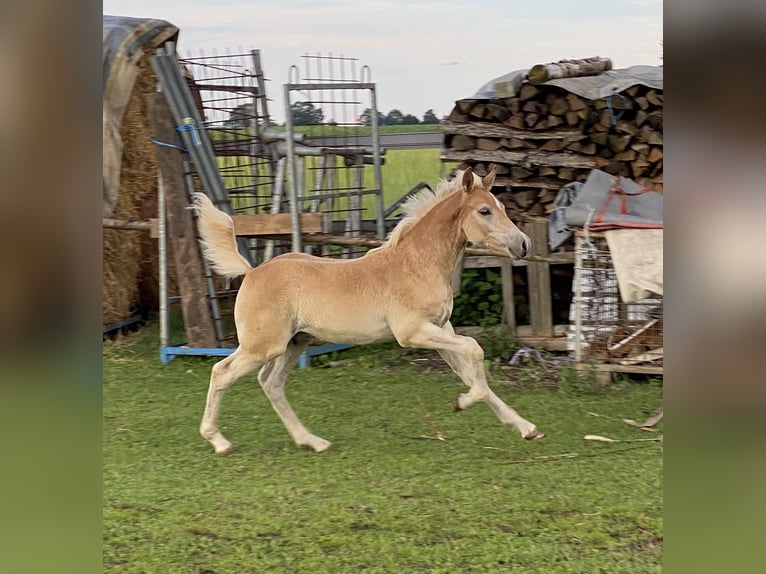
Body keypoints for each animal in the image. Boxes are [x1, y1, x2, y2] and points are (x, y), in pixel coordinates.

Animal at [195, 165, 544, 454]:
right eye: (484, 210)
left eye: (502, 208)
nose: (523, 244)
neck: (418, 264)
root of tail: (252, 272)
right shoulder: (413, 333)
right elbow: (475, 350)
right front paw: (461, 402)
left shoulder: (441, 329)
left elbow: (472, 373)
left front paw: (526, 428)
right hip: (263, 346)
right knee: (221, 372)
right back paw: (219, 441)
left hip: (295, 343)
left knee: (271, 383)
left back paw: (313, 441)